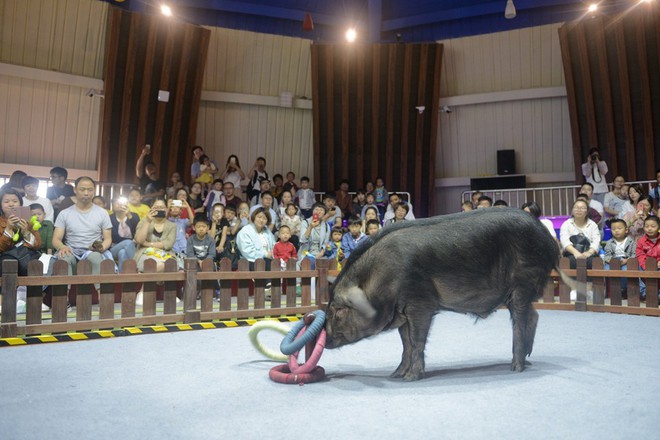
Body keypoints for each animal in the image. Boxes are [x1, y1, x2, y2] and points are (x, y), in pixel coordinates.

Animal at [324, 208, 556, 380]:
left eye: (338, 310)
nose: (324, 339)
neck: (381, 277)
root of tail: (548, 239)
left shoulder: (420, 302)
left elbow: (417, 340)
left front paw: (411, 378)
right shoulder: (402, 311)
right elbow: (405, 343)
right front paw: (395, 375)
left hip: (524, 281)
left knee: (519, 321)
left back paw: (515, 367)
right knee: (534, 315)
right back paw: (527, 358)